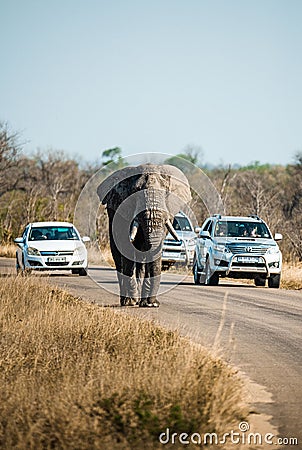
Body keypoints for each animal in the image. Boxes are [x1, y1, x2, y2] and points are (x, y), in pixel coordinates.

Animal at [96, 163, 191, 308]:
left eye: (165, 193)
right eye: (135, 193)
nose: (154, 303)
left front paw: (149, 304)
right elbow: (127, 248)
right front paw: (132, 302)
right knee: (118, 256)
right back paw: (126, 301)